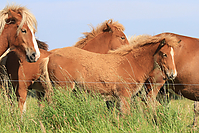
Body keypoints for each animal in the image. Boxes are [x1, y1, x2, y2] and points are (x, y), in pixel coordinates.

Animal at [39, 34, 178, 113]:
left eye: (173, 54)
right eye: (164, 54)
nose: (173, 74)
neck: (131, 63)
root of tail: (50, 57)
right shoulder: (124, 95)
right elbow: (126, 115)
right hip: (63, 89)